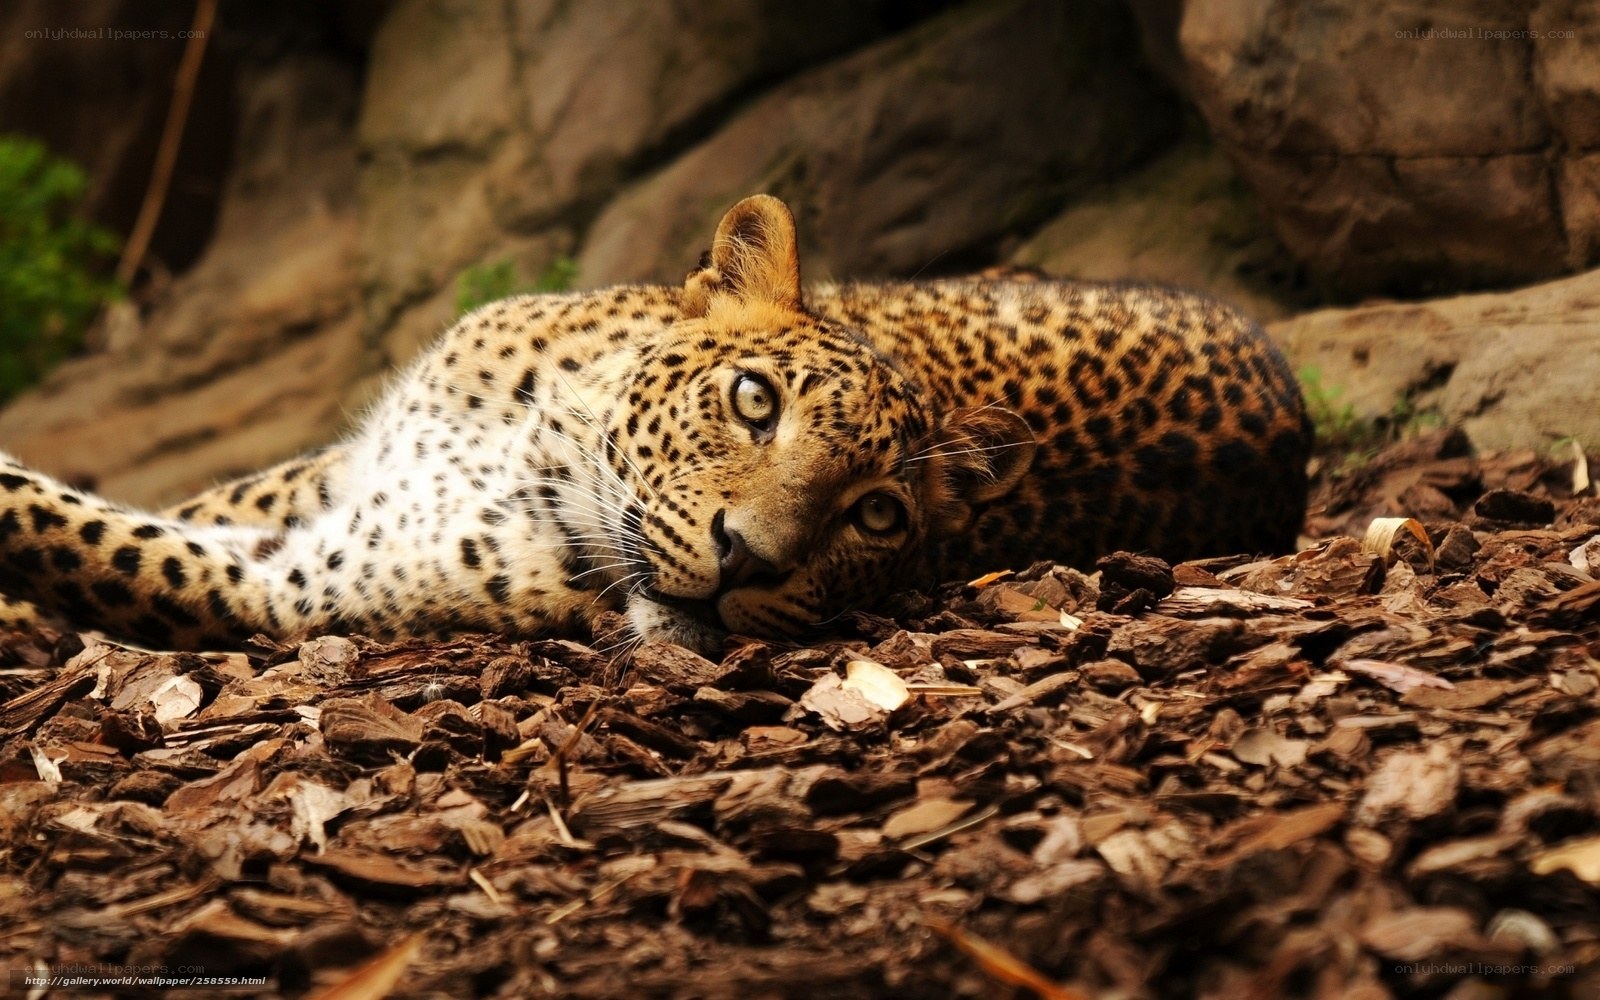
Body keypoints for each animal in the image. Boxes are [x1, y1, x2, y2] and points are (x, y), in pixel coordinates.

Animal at [0, 194, 1310, 655]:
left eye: (877, 516)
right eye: (754, 401)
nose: (750, 564)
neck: (533, 446)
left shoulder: (290, 587)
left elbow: (72, 532)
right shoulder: (340, 472)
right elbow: (186, 498)